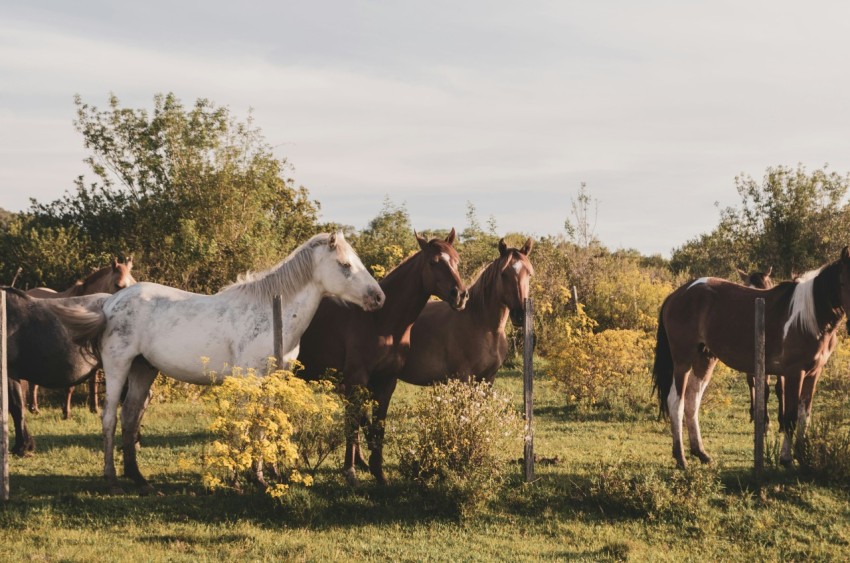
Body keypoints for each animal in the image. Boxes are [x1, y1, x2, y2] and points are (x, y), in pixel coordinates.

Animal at [52, 232, 384, 494]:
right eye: (345, 265)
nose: (378, 297)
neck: (271, 311)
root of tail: (109, 303)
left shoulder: (272, 380)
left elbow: (262, 426)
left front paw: (262, 478)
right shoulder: (248, 380)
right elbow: (242, 426)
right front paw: (237, 479)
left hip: (143, 369)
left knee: (130, 418)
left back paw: (140, 480)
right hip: (118, 367)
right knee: (110, 418)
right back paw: (112, 480)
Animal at [297, 229, 469, 484]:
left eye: (457, 260)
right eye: (433, 261)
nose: (460, 295)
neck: (381, 321)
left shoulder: (387, 382)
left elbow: (379, 426)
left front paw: (379, 473)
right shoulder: (356, 380)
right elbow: (353, 424)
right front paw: (350, 472)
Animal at [653, 248, 850, 468]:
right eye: (843, 282)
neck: (809, 317)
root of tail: (677, 294)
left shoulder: (813, 373)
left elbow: (804, 416)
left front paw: (802, 456)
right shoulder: (794, 373)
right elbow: (790, 417)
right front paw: (787, 459)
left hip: (704, 359)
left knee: (692, 401)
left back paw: (701, 453)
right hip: (683, 361)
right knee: (676, 403)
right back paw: (681, 458)